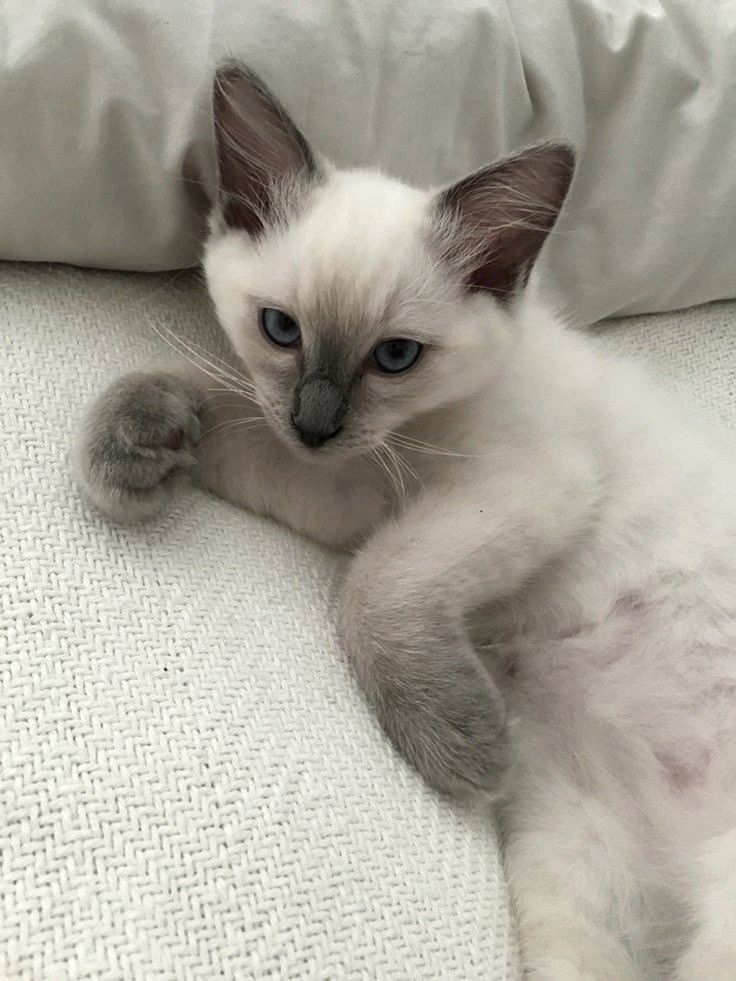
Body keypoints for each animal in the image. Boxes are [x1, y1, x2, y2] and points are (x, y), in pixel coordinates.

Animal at [73, 65, 736, 976]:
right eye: (280, 329)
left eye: (395, 357)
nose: (315, 422)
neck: (414, 435)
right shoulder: (353, 485)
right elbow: (227, 416)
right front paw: (140, 442)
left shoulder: (518, 487)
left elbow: (374, 583)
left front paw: (459, 745)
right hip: (575, 868)